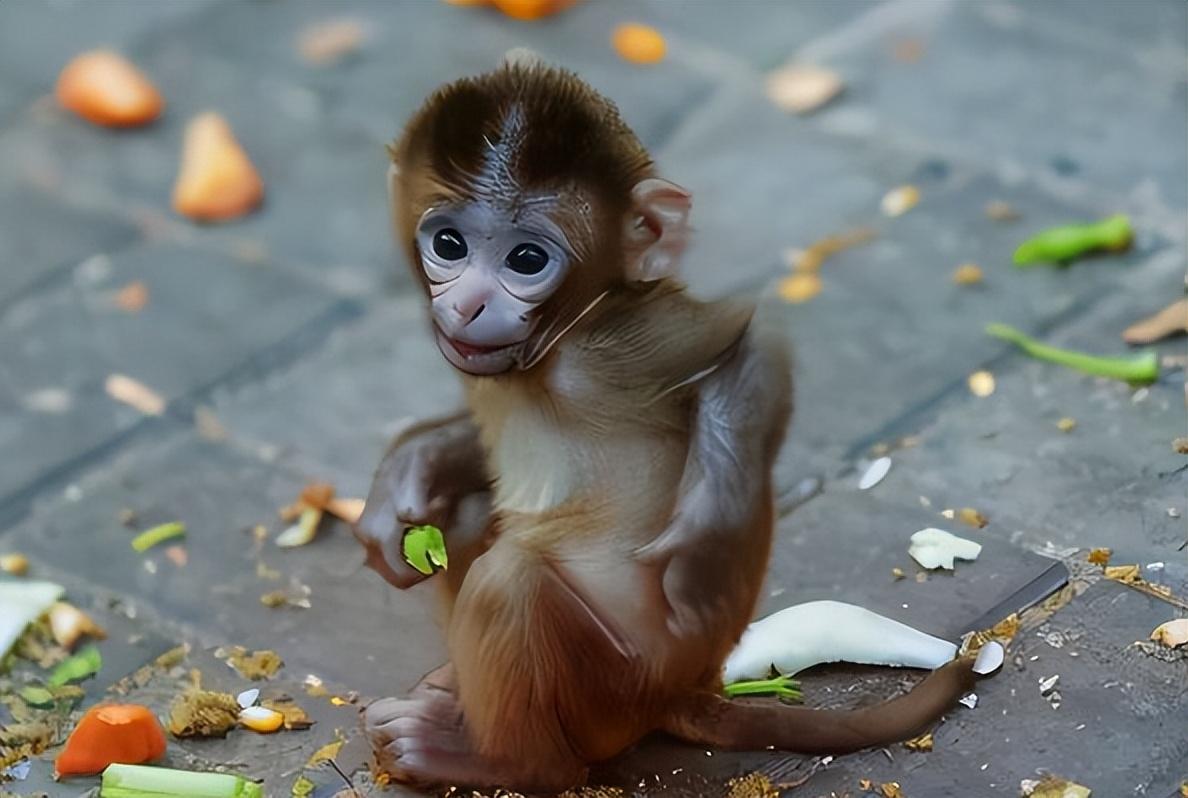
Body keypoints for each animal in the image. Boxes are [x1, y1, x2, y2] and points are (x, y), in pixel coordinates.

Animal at [354, 63, 983, 793]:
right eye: (448, 245)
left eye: (526, 260)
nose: (468, 303)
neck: (554, 344)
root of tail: (684, 691)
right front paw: (408, 470)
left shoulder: (616, 347)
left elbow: (755, 341)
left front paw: (705, 543)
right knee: (466, 516)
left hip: (609, 692)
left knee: (511, 583)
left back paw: (504, 760)